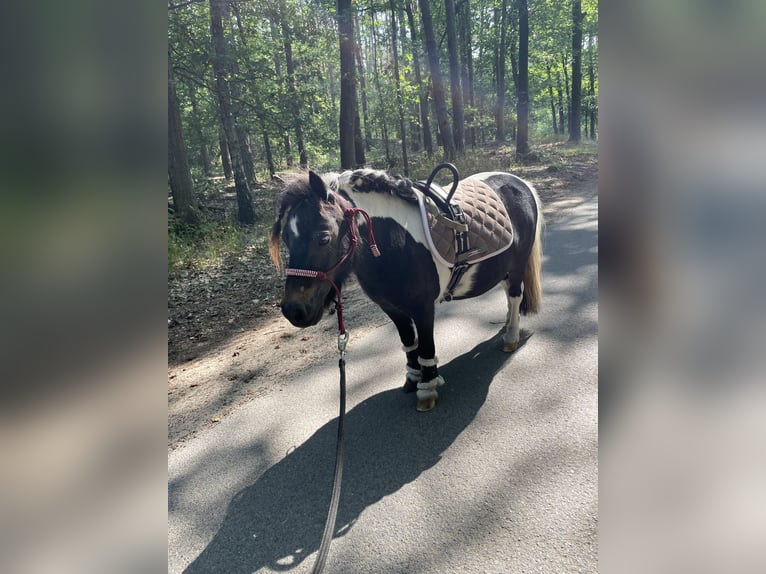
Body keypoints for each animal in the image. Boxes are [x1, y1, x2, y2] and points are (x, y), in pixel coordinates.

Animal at [272, 170, 544, 414]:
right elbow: (409, 342)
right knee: (509, 295)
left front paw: (427, 387)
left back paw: (511, 336)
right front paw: (413, 378)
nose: (294, 310)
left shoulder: (423, 309)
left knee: (515, 295)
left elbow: (426, 347)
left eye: (324, 238)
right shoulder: (392, 309)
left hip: (518, 265)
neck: (397, 241)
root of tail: (520, 182)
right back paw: (508, 324)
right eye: (286, 238)